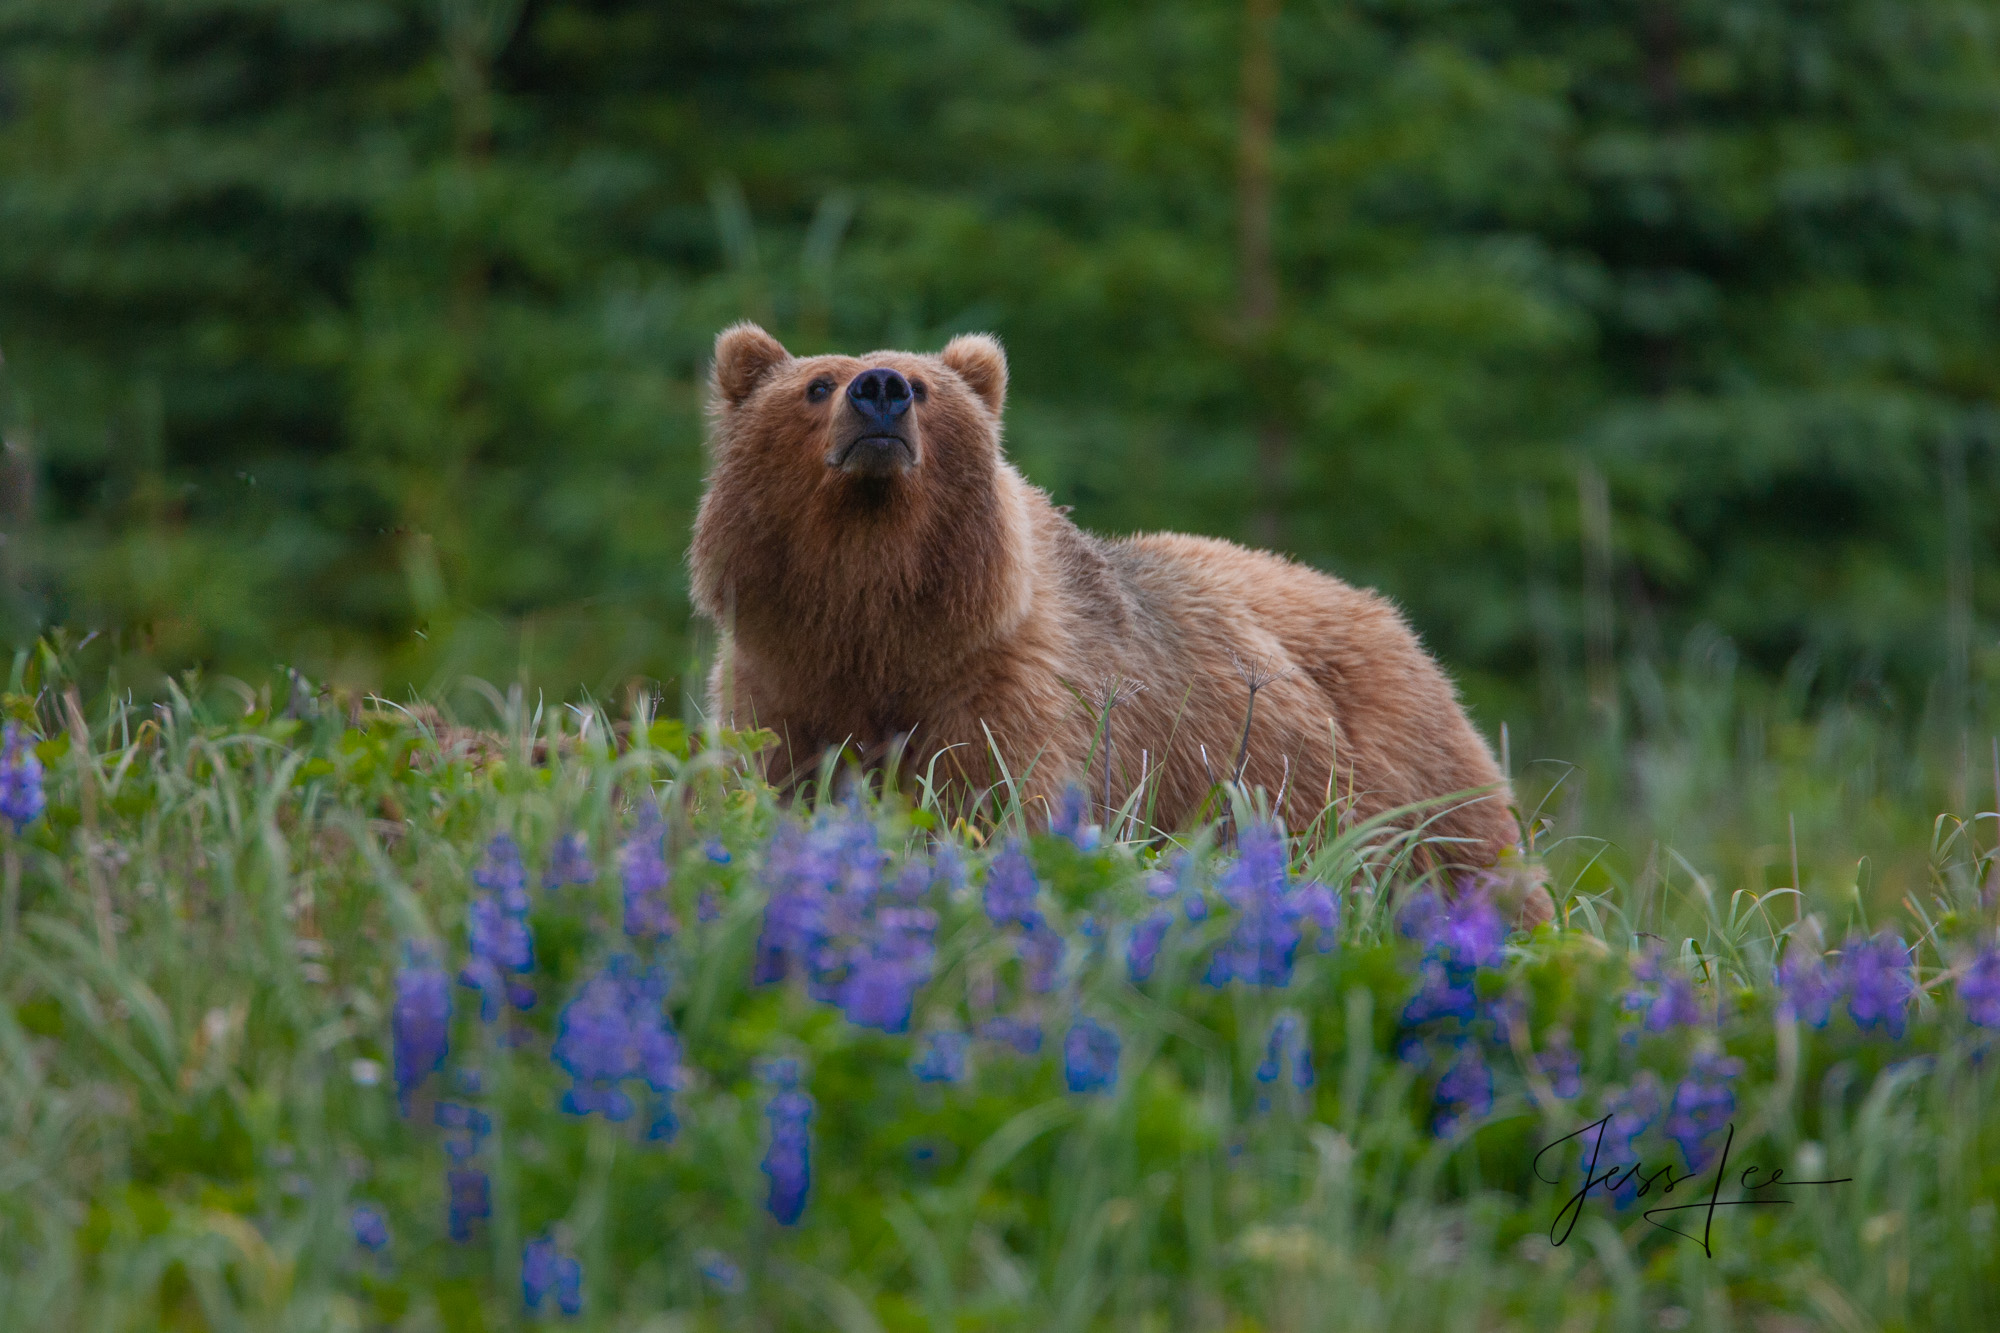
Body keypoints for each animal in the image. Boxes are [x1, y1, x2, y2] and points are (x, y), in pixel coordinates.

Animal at [696, 326, 1552, 920]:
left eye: (927, 386)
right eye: (816, 383)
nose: (880, 389)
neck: (874, 613)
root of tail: (1396, 622)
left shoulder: (1006, 688)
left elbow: (997, 805)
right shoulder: (780, 682)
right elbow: (767, 782)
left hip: (1402, 770)